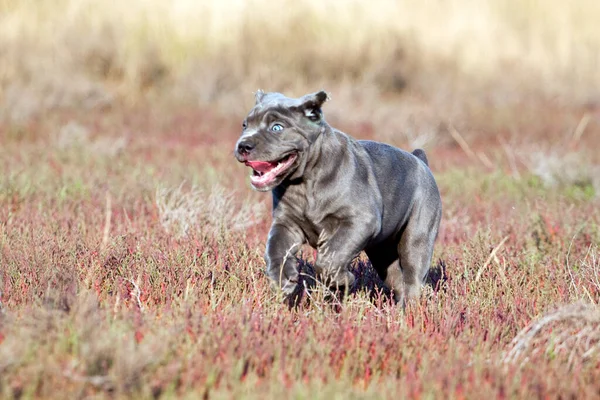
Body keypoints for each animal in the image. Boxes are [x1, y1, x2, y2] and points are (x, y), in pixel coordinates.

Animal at [234, 90, 440, 304]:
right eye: (245, 125)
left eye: (277, 127)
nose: (243, 146)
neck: (305, 182)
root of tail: (420, 160)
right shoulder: (286, 224)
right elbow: (275, 249)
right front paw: (283, 279)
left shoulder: (359, 220)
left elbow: (331, 257)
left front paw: (344, 280)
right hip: (381, 251)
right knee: (395, 278)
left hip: (417, 238)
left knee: (412, 277)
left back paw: (410, 308)